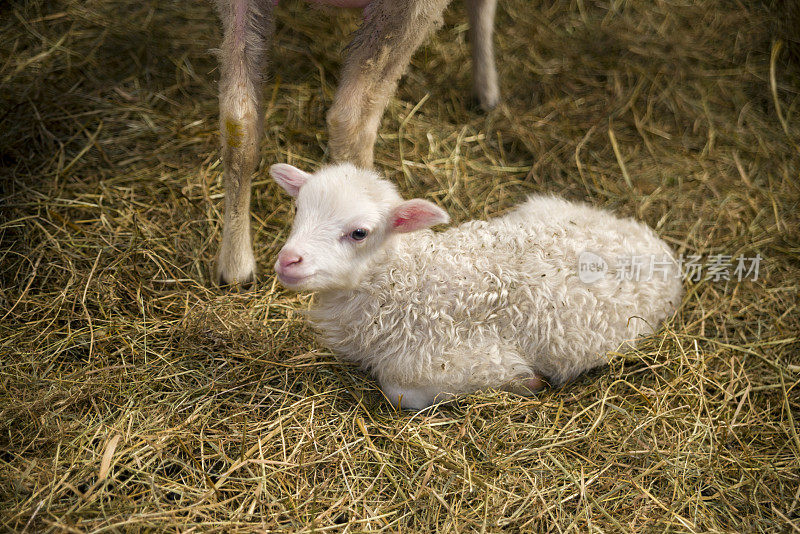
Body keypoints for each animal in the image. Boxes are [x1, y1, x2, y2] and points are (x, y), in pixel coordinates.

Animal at [268, 163, 680, 410]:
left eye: (359, 233)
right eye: (298, 209)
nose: (288, 260)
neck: (405, 283)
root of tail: (654, 243)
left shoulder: (465, 363)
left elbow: (400, 392)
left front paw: (529, 382)